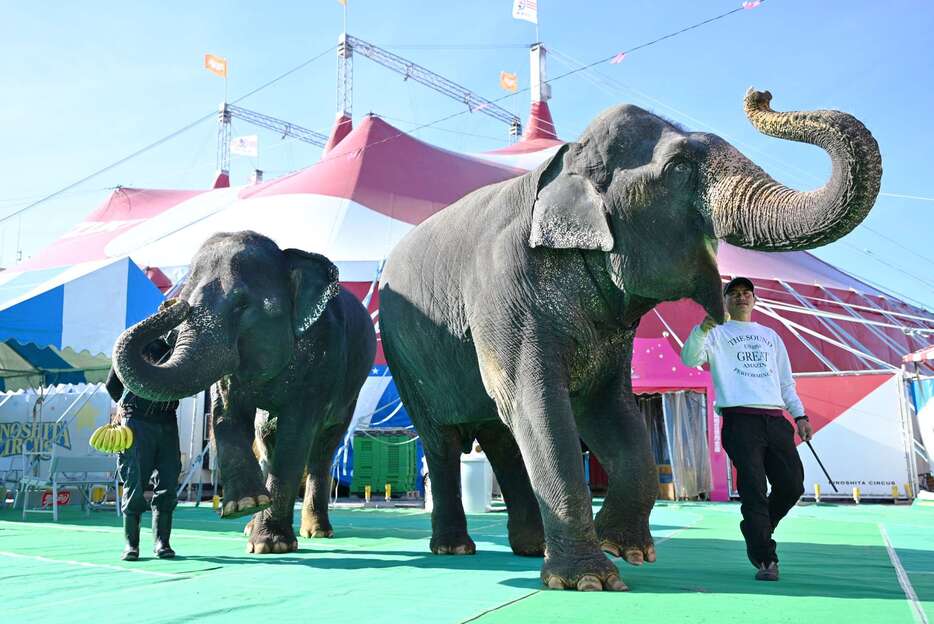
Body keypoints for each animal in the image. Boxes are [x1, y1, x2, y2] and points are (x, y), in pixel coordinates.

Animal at [115, 232, 378, 552]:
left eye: (242, 304)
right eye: (187, 300)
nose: (170, 303)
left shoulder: (321, 358)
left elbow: (296, 435)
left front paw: (270, 544)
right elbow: (226, 412)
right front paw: (244, 506)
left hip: (350, 388)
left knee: (323, 448)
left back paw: (316, 531)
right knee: (265, 435)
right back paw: (252, 523)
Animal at [376, 90, 880, 592]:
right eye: (678, 167)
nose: (760, 94)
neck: (567, 164)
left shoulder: (610, 328)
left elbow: (610, 410)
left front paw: (626, 551)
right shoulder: (505, 289)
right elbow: (537, 404)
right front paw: (589, 580)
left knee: (501, 436)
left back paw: (530, 547)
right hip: (404, 356)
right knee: (443, 442)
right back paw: (455, 548)